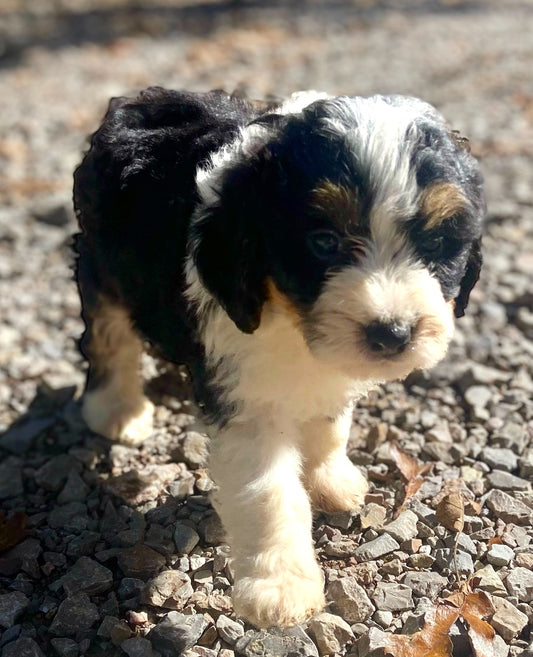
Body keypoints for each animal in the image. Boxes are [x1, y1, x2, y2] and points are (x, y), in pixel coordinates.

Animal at [72, 87, 484, 624]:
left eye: (436, 243)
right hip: (103, 265)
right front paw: (281, 588)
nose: (392, 333)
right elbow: (268, 491)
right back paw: (117, 410)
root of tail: (137, 100)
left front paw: (331, 480)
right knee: (110, 338)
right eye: (323, 242)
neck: (288, 317)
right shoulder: (246, 397)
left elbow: (330, 422)